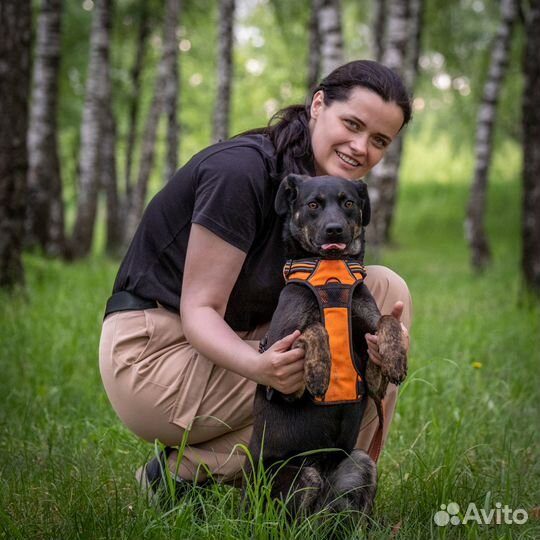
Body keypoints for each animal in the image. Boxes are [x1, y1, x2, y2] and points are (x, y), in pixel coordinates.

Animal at [243, 173, 408, 520]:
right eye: (313, 205)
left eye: (348, 203)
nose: (334, 230)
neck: (332, 277)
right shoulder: (281, 365)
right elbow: (314, 328)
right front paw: (321, 372)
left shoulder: (371, 372)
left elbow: (387, 319)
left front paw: (395, 357)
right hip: (300, 476)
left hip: (361, 462)